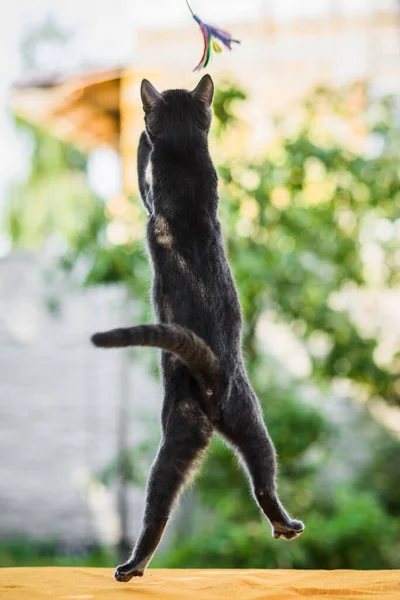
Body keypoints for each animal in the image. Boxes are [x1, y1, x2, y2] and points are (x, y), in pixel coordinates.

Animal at [91, 74, 304, 580]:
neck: (187, 156)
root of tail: (212, 381)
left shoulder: (151, 192)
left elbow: (142, 171)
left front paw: (141, 138)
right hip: (244, 420)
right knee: (259, 475)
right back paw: (283, 526)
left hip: (181, 428)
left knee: (161, 504)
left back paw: (132, 565)